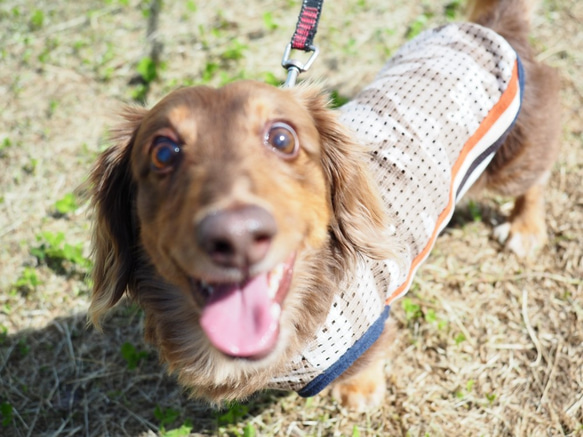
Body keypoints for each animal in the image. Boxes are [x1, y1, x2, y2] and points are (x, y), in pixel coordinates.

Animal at [88, 0, 560, 408]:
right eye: (162, 153)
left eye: (282, 138)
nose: (236, 236)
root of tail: (488, 28)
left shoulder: (369, 328)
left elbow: (369, 361)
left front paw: (360, 392)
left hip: (509, 161)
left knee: (539, 174)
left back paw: (525, 228)